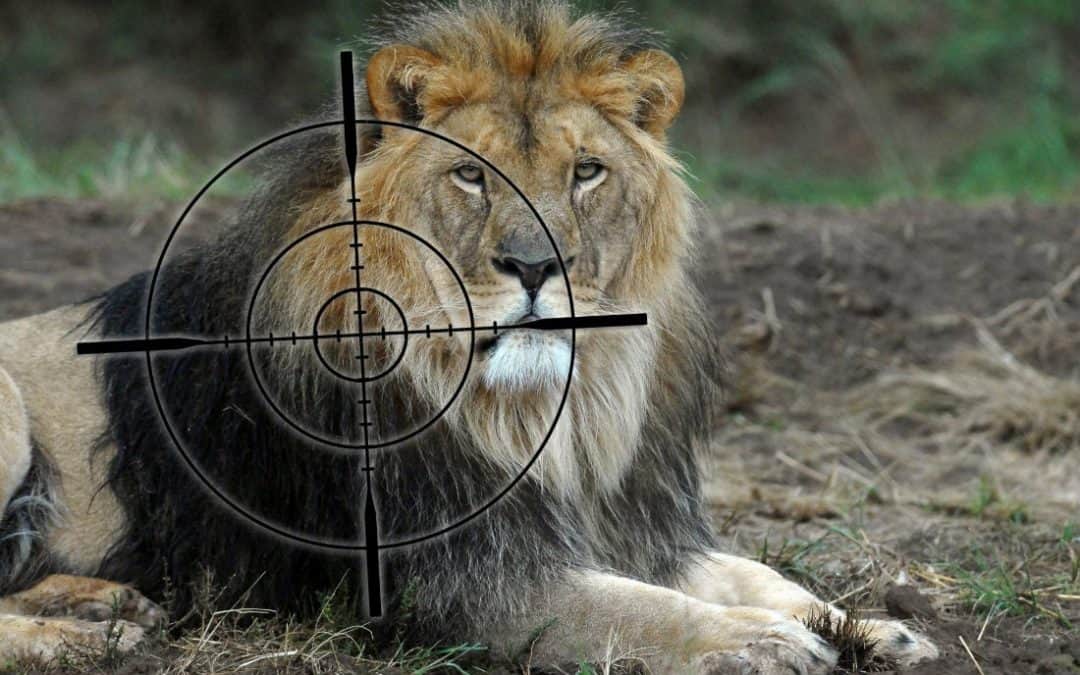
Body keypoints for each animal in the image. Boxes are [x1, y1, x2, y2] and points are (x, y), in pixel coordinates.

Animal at [0, 2, 938, 672]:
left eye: (586, 171)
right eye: (470, 175)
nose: (534, 265)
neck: (554, 412)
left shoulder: (634, 526)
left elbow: (756, 573)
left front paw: (870, 626)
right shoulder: (470, 583)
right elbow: (639, 610)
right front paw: (759, 641)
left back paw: (104, 603)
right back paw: (81, 639)